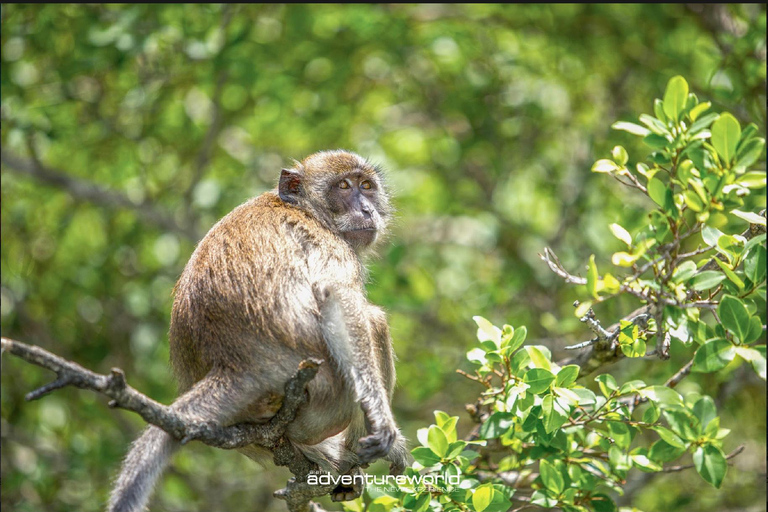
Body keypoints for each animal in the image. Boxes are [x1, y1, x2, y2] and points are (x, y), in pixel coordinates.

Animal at [109, 149, 412, 512]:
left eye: (366, 186)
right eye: (343, 186)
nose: (367, 209)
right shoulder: (329, 244)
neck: (307, 209)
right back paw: (351, 453)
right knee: (372, 320)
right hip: (323, 397)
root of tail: (234, 368)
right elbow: (337, 299)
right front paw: (383, 425)